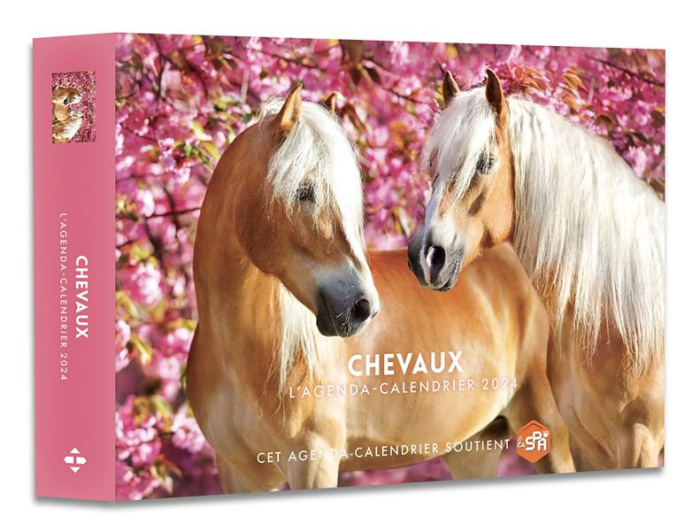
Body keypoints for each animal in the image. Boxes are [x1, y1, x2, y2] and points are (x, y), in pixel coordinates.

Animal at [186, 84, 574, 492]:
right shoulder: (240, 472)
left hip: (549, 430)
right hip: (474, 447)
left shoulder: (313, 461)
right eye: (304, 191)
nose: (362, 307)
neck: (240, 352)